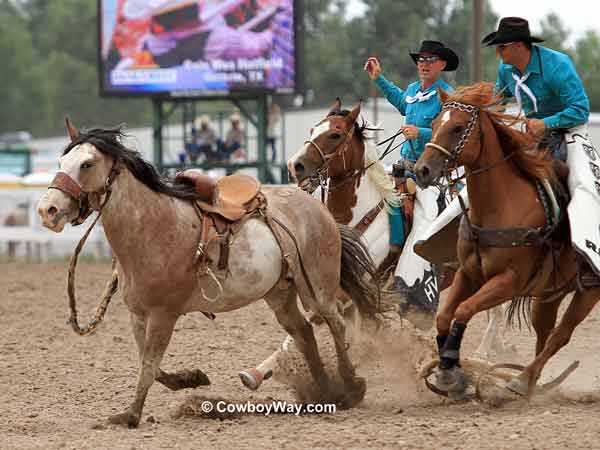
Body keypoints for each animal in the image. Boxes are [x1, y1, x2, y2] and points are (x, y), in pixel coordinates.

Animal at [36, 121, 380, 428]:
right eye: (61, 162)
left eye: (87, 164)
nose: (47, 210)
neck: (153, 226)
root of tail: (317, 208)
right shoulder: (138, 315)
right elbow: (151, 364)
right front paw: (192, 378)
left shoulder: (163, 315)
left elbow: (148, 365)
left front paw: (130, 416)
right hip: (279, 293)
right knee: (304, 333)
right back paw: (325, 393)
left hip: (317, 289)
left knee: (335, 324)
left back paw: (350, 386)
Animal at [412, 83, 600, 398]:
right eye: (436, 123)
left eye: (458, 127)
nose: (422, 170)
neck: (500, 206)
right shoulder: (468, 273)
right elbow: (444, 316)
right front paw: (449, 372)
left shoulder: (508, 282)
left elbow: (463, 310)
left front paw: (451, 369)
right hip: (550, 292)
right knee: (544, 333)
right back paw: (532, 383)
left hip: (588, 291)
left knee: (560, 335)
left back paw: (521, 381)